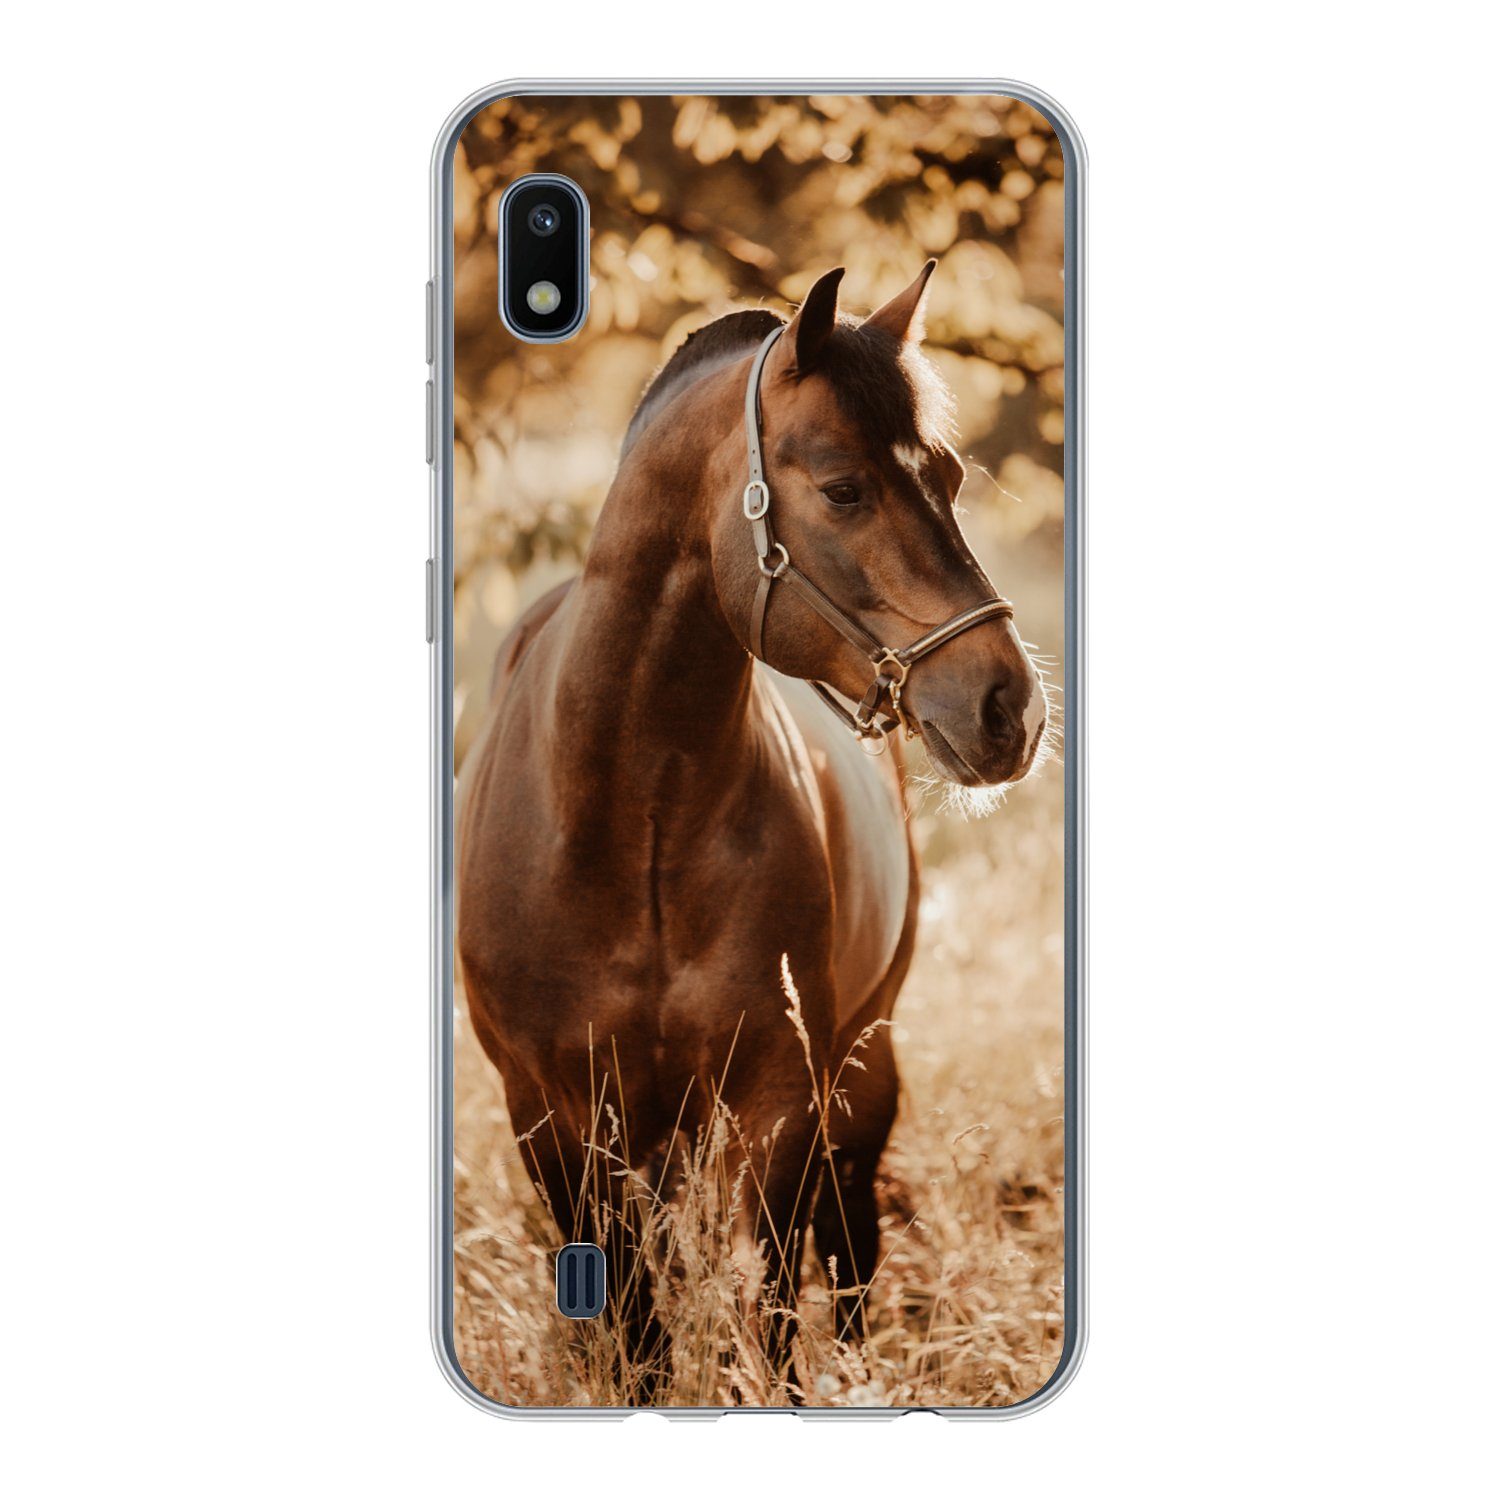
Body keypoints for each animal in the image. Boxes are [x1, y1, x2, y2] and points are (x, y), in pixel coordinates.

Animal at [456, 261, 1047, 1402]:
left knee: (849, 1255)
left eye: (949, 477)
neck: (627, 820)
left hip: (860, 1073)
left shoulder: (777, 1106)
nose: (1012, 708)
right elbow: (638, 1338)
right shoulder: (553, 1118)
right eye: (845, 489)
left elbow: (768, 1322)